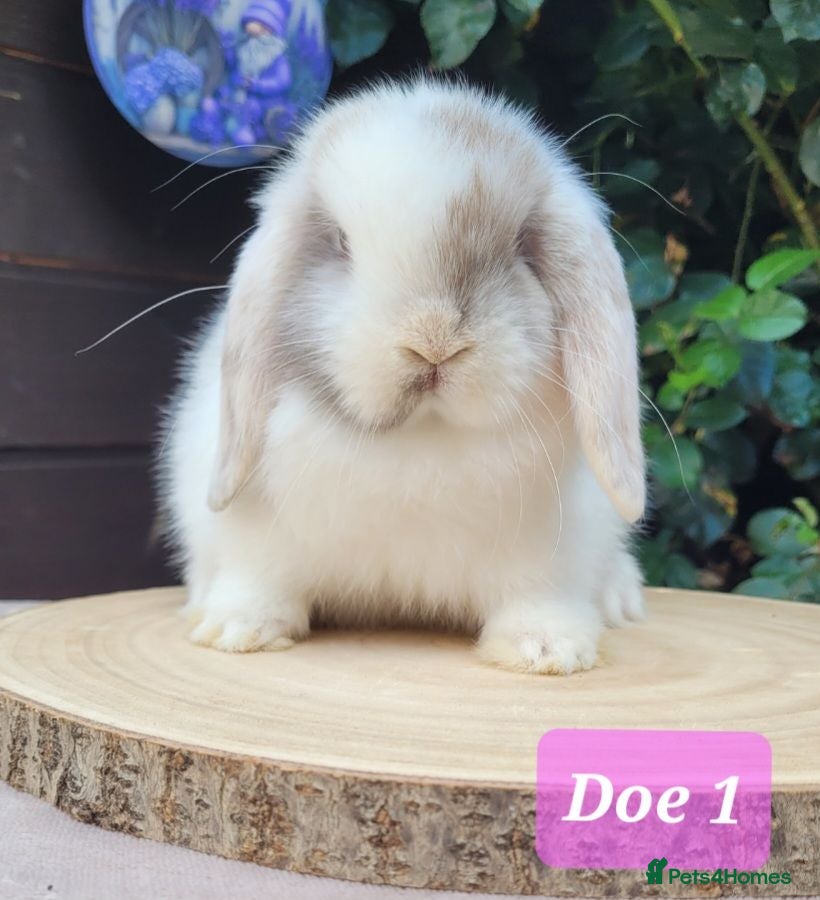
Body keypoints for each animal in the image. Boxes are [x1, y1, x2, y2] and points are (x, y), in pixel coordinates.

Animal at [158, 77, 647, 675]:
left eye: (521, 244)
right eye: (340, 241)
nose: (433, 343)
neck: (419, 441)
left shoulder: (551, 557)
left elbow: (538, 597)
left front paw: (547, 650)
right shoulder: (254, 541)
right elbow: (257, 579)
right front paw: (236, 631)